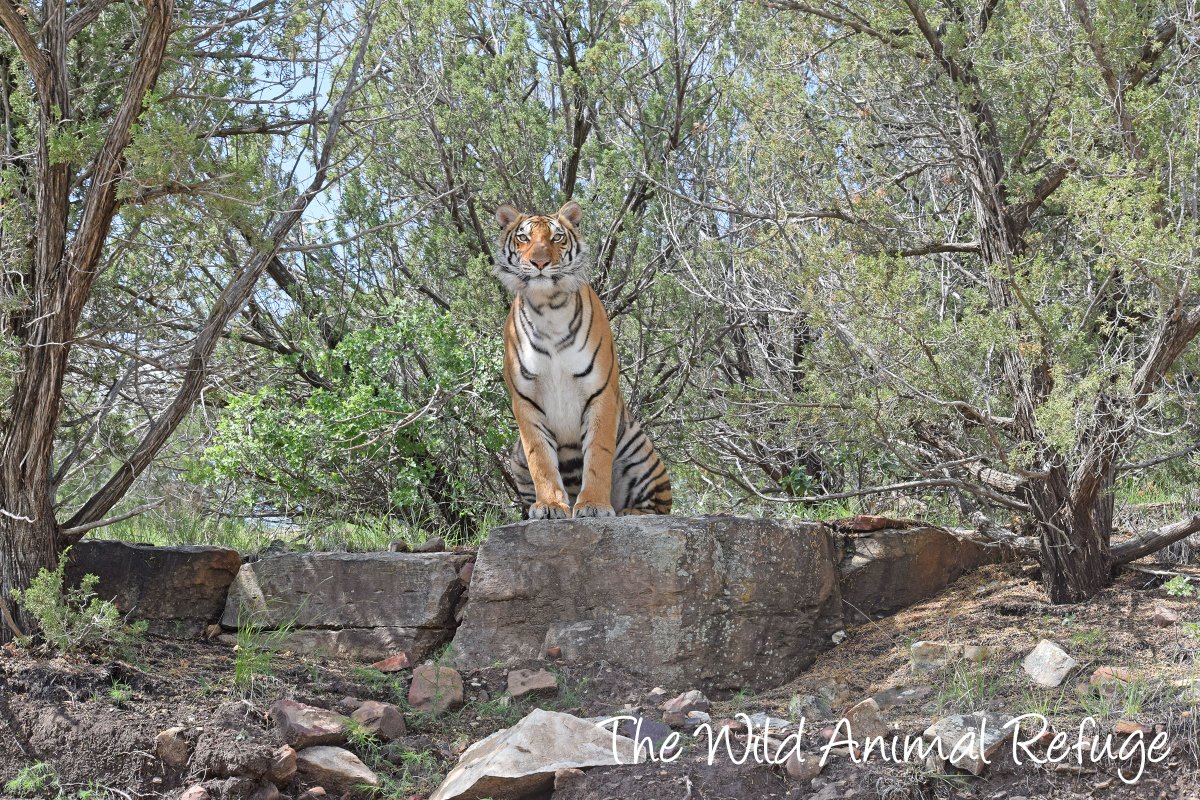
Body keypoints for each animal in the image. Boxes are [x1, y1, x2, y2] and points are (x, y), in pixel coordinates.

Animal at [492, 201, 672, 520]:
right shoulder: (525, 400)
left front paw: (595, 506)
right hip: (515, 455)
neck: (547, 307)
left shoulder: (599, 392)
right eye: (524, 238)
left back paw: (629, 512)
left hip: (640, 451)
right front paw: (550, 505)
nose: (539, 263)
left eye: (557, 238)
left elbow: (598, 456)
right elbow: (540, 459)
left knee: (658, 506)